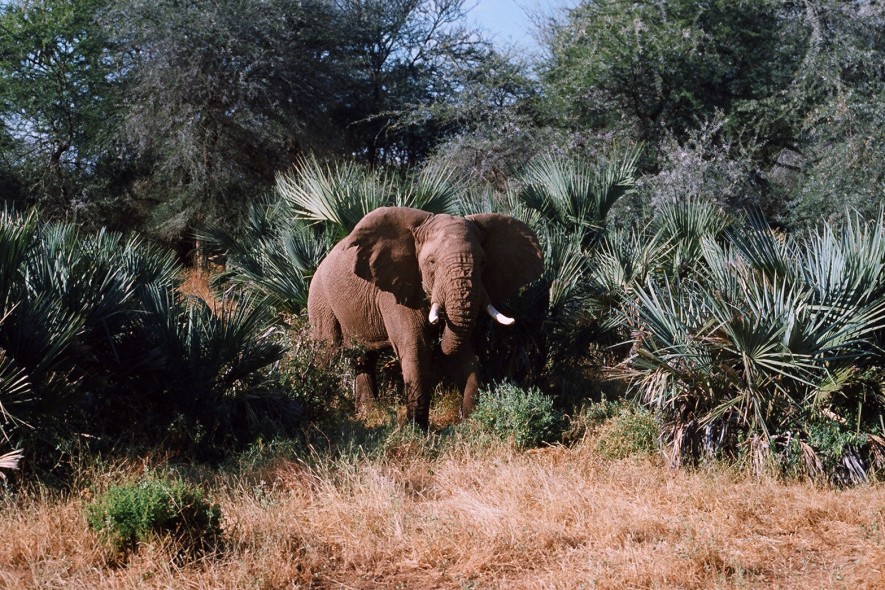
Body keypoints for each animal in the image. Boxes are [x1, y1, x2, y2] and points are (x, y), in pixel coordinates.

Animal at [307, 206, 544, 431]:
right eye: (431, 262)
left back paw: (368, 412)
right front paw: (417, 429)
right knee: (328, 352)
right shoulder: (394, 290)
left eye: (483, 262)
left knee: (365, 357)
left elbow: (463, 351)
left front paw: (470, 422)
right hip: (320, 299)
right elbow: (416, 346)